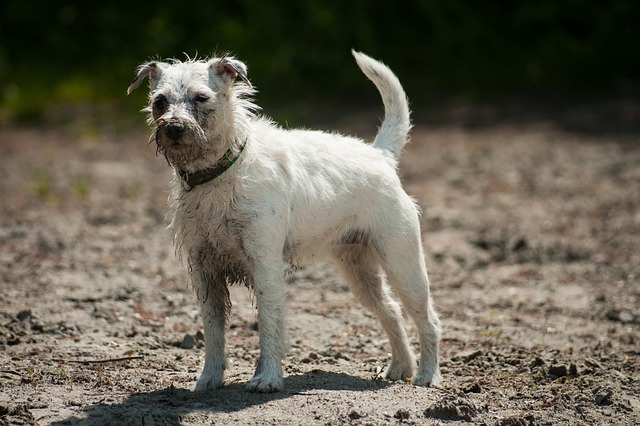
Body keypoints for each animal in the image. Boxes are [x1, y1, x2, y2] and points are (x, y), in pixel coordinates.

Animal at [128, 50, 442, 392]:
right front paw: (209, 378)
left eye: (201, 97)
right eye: (159, 101)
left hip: (404, 267)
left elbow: (269, 327)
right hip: (360, 274)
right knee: (392, 312)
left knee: (428, 320)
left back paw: (427, 374)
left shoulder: (265, 266)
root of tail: (380, 155)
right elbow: (213, 332)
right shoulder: (204, 271)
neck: (221, 173)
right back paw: (401, 366)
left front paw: (267, 378)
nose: (173, 128)